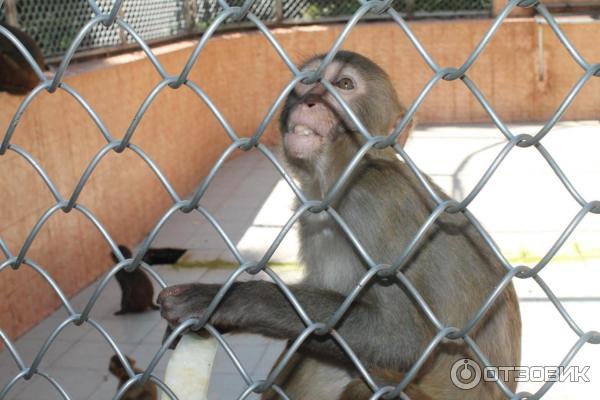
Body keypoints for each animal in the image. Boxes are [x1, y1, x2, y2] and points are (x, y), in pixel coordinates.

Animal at [158, 52, 520, 400]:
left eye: (344, 84)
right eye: (307, 81)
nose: (309, 100)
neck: (336, 186)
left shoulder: (376, 202)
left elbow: (403, 339)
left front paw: (228, 300)